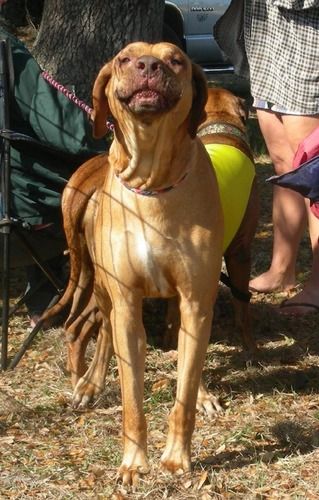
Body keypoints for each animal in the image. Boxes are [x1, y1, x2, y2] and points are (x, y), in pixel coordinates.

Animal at [52, 44, 222, 484]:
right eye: (125, 59)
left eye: (176, 59)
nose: (149, 65)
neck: (153, 183)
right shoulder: (127, 302)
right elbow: (131, 398)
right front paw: (132, 463)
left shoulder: (196, 300)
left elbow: (183, 392)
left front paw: (177, 458)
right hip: (102, 290)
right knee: (101, 334)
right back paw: (89, 384)